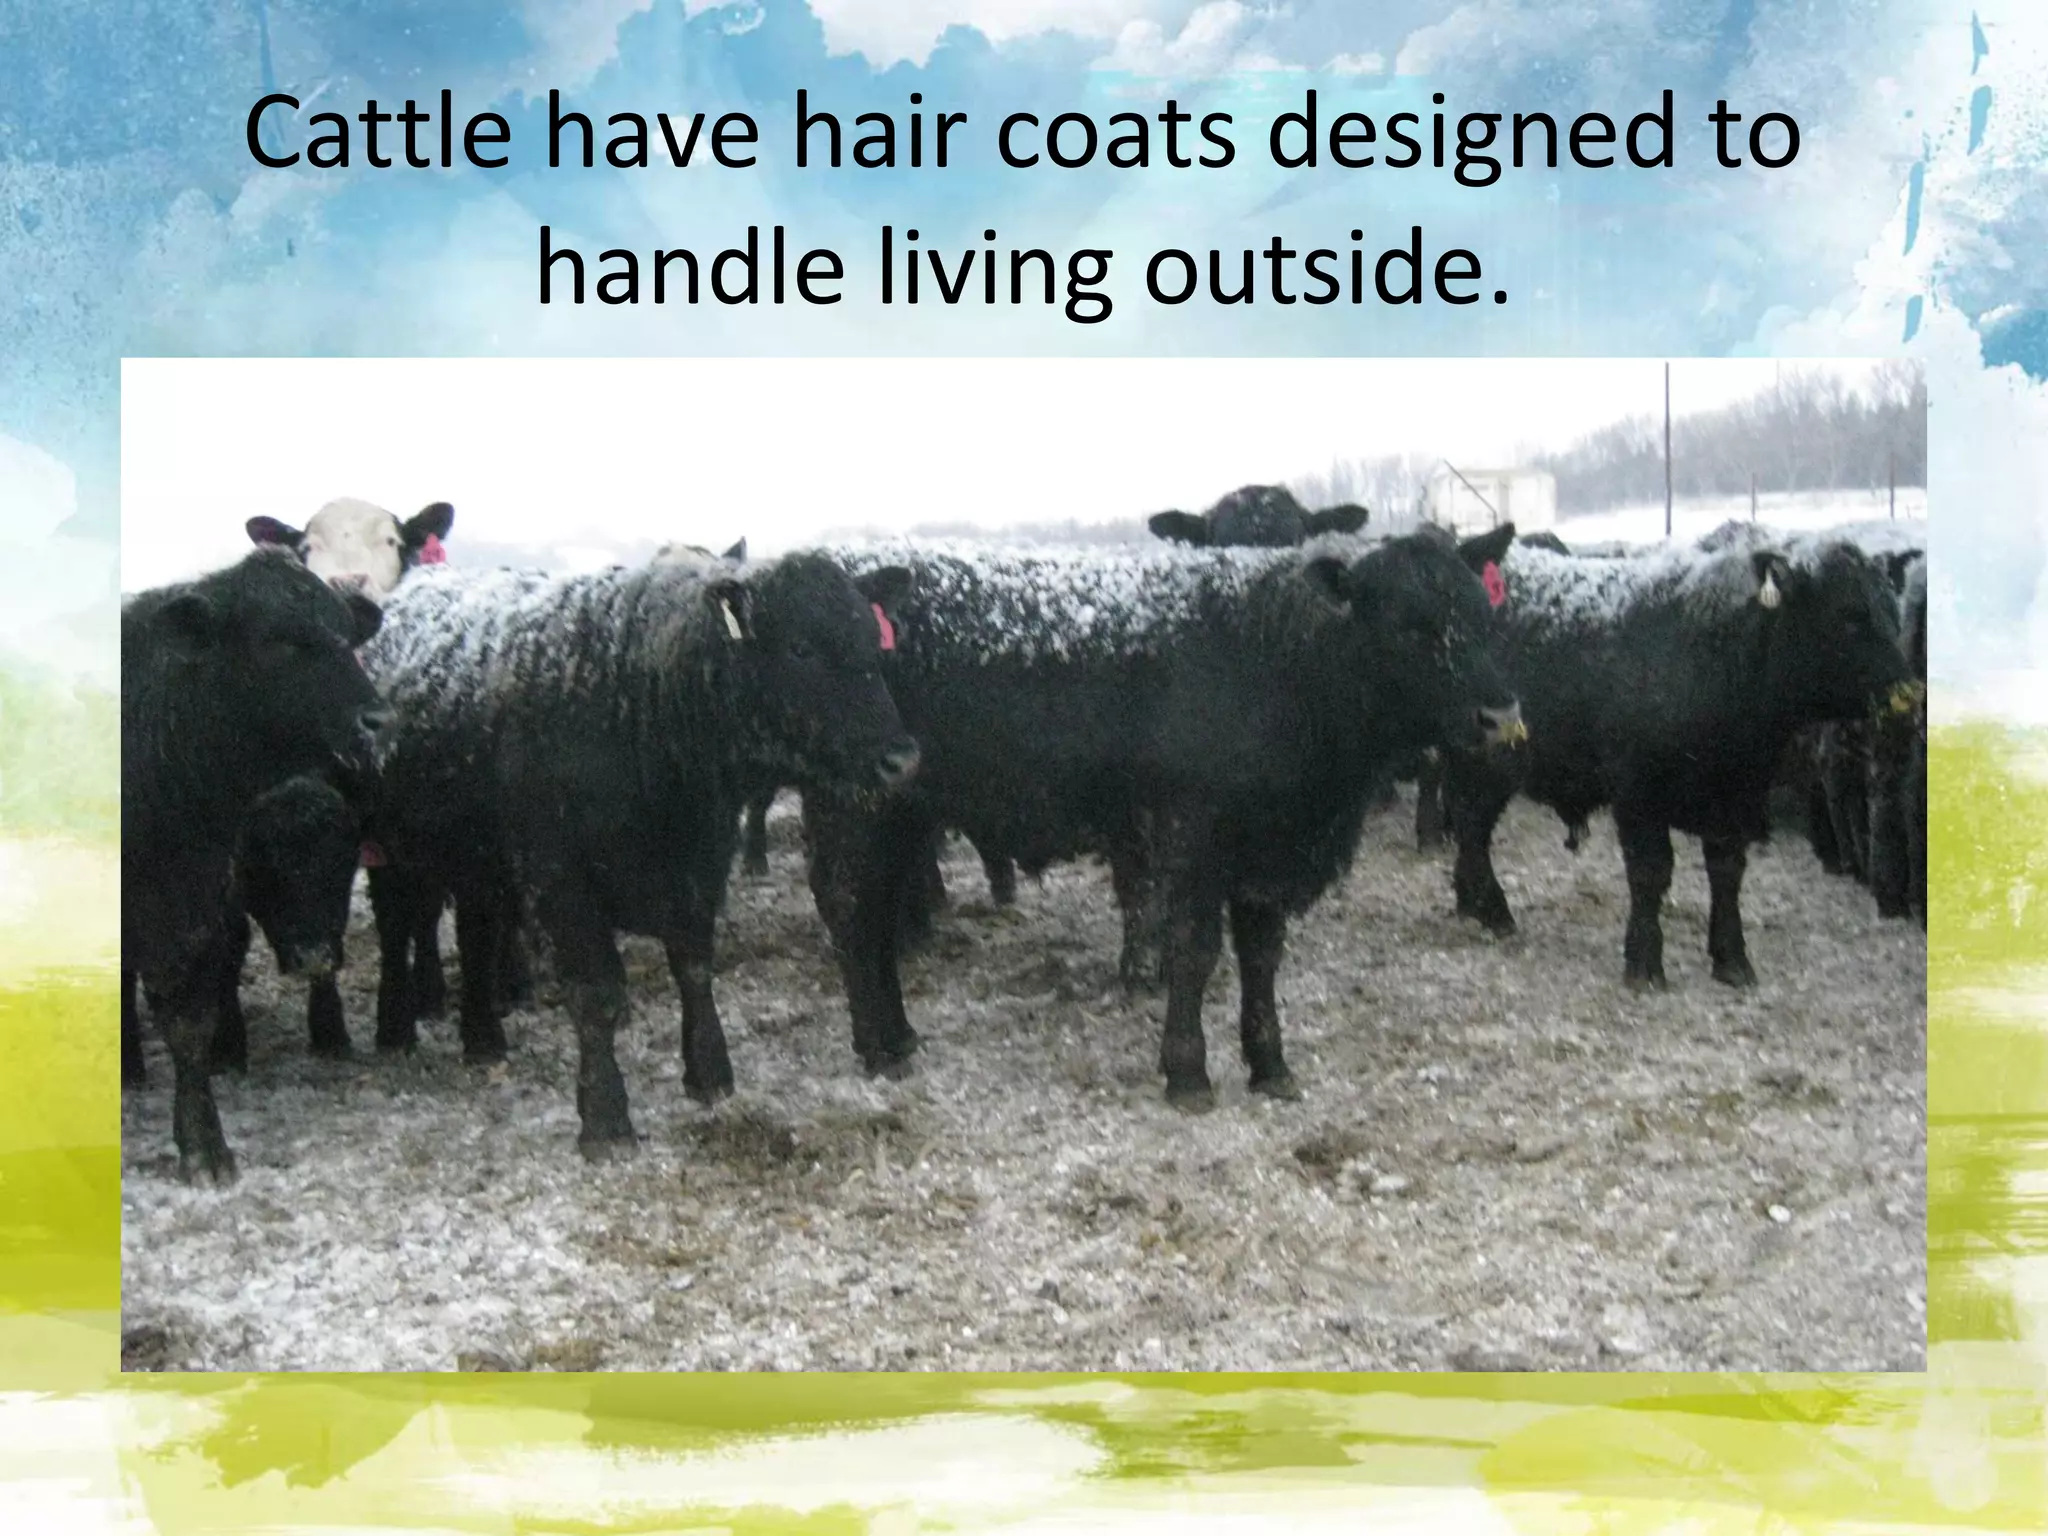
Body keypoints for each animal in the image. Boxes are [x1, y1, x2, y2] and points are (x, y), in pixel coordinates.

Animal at [122, 549, 387, 1183]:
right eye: (279, 641)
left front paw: (204, 1147)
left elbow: (189, 1023)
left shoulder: (187, 909)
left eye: (345, 635)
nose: (377, 720)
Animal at [360, 553, 919, 1159]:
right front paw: (605, 1120)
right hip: (392, 856)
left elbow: (693, 967)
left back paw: (484, 1037)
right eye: (800, 648)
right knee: (397, 927)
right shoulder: (559, 880)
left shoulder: (700, 863)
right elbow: (597, 992)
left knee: (477, 936)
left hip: (479, 867)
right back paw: (395, 1029)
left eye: (874, 640)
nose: (901, 758)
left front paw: (709, 1074)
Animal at [803, 530, 1522, 1108]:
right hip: (853, 805)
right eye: (1408, 623)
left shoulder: (1266, 851)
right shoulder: (1190, 832)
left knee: (877, 911)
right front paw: (1188, 1073)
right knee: (852, 909)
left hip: (901, 811)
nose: (1501, 716)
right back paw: (876, 1046)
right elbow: (1193, 948)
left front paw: (1270, 1065)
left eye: (1482, 613)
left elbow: (1261, 954)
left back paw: (900, 1035)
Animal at [1440, 539, 1915, 988]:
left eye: (1893, 612)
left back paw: (1473, 903)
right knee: (1473, 825)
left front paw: (1732, 959)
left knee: (1472, 825)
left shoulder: (1736, 797)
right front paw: (1645, 964)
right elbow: (1651, 872)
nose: (1907, 692)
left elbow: (1726, 873)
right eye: (1850, 615)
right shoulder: (1637, 793)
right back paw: (1493, 910)